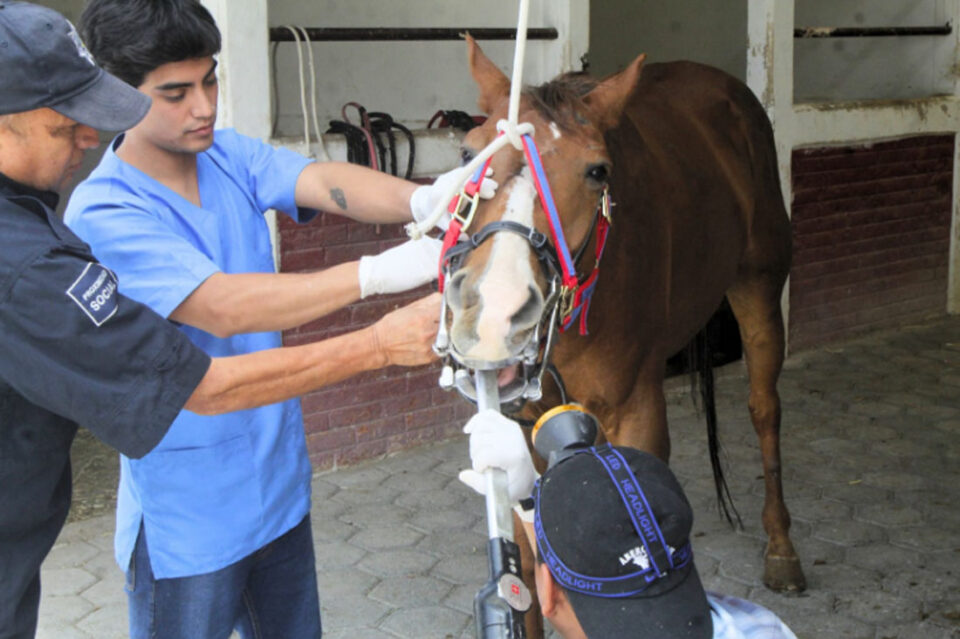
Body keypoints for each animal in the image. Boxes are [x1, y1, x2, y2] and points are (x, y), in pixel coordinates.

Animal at [442, 37, 806, 636]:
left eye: (597, 171)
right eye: (468, 155)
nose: (494, 312)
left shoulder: (636, 413)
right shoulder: (516, 425)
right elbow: (526, 560)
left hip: (758, 286)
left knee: (765, 409)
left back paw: (782, 547)